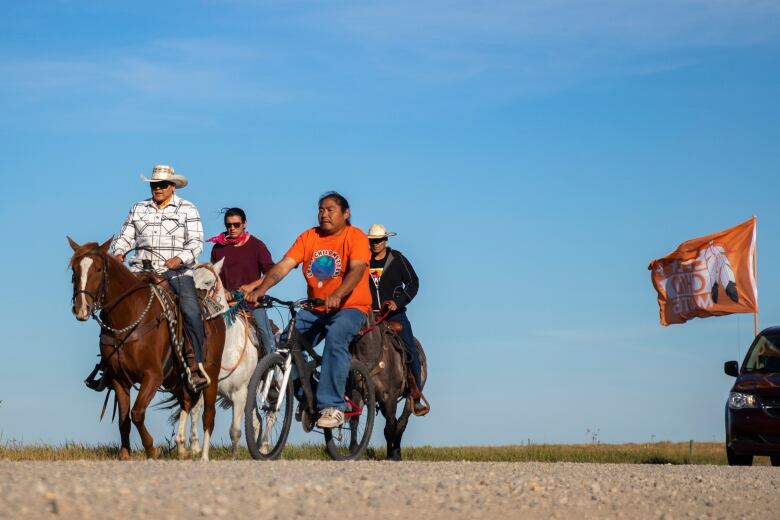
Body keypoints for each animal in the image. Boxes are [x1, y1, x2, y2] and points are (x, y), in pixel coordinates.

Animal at [67, 238, 225, 462]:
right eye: (74, 269)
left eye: (98, 269)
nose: (81, 309)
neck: (129, 317)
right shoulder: (118, 378)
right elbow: (124, 419)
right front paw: (125, 453)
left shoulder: (152, 375)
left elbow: (137, 412)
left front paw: (152, 448)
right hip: (175, 379)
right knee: (186, 401)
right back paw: (182, 449)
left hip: (210, 373)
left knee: (208, 415)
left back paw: (202, 456)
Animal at [174, 260, 262, 460]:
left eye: (208, 282)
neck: (227, 348)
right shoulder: (202, 388)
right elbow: (196, 414)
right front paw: (193, 449)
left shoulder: (239, 394)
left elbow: (235, 431)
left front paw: (233, 458)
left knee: (261, 420)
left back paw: (264, 447)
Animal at [354, 316, 430, 460]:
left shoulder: (390, 395)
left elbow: (389, 428)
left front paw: (390, 456)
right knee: (395, 422)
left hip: (408, 399)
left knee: (401, 423)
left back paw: (396, 454)